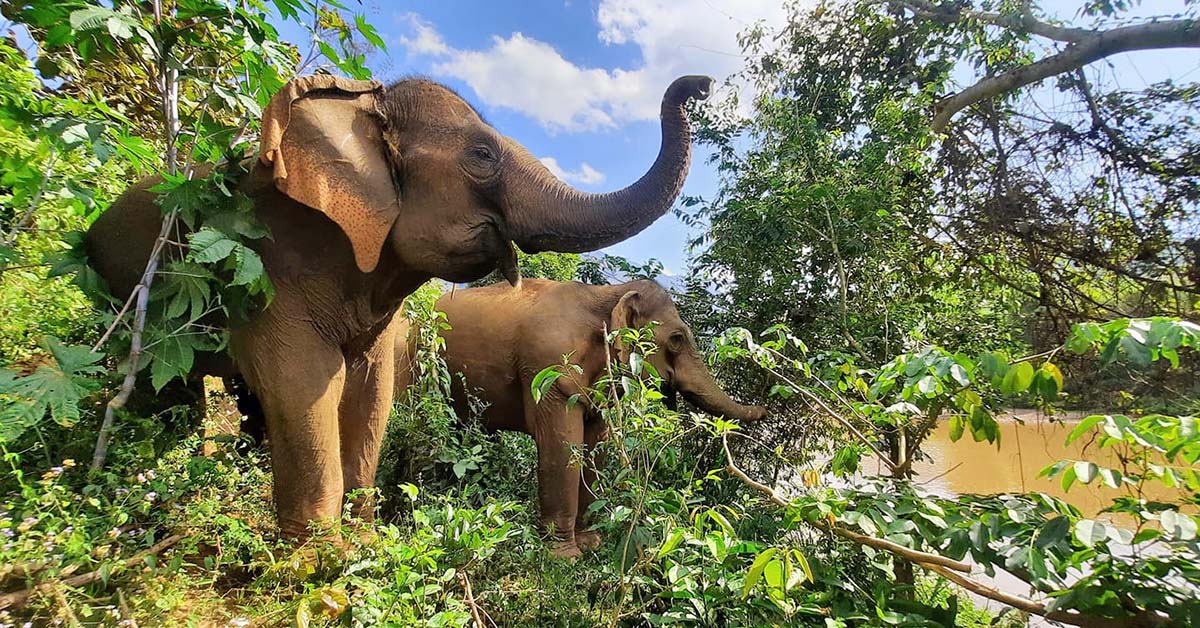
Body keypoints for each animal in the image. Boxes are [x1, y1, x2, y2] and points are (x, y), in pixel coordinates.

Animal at [84, 73, 713, 538]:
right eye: (482, 154)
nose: (701, 85)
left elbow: (371, 386)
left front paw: (363, 542)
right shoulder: (272, 262)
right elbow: (306, 378)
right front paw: (321, 568)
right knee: (161, 384)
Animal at [395, 279, 766, 557]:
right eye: (676, 339)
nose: (766, 409)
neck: (606, 293)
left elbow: (596, 444)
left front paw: (591, 543)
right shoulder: (548, 367)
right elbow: (562, 447)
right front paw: (566, 556)